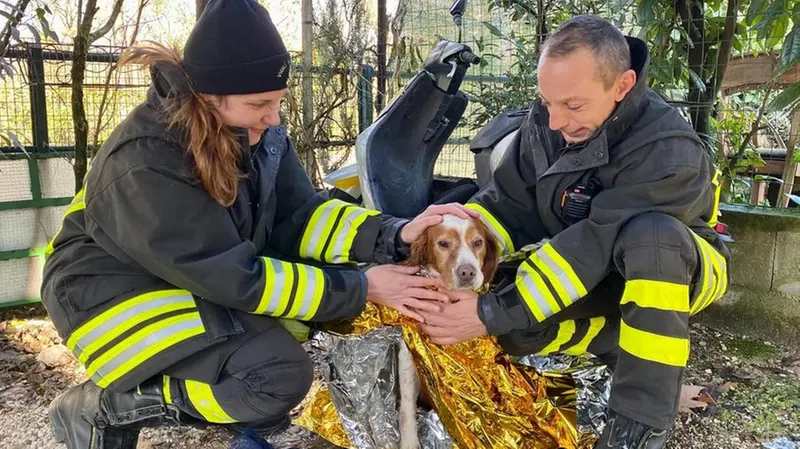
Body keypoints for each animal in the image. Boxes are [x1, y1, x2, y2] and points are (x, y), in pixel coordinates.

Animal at [396, 214, 496, 448]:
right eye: (443, 243)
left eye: (477, 242)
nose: (467, 272)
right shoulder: (407, 357)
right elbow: (406, 408)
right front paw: (409, 442)